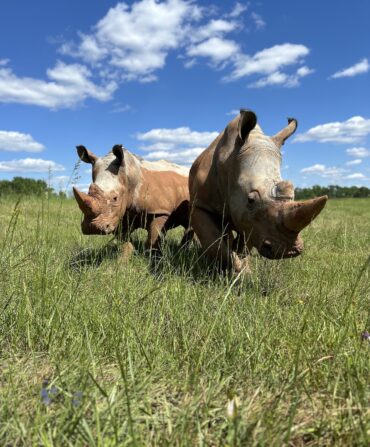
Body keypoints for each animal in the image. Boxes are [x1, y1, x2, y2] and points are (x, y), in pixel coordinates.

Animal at [189, 110, 328, 274]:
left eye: (293, 196)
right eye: (251, 200)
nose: (289, 251)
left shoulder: (250, 222)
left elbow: (245, 245)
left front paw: (243, 271)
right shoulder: (200, 204)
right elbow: (213, 242)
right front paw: (233, 268)